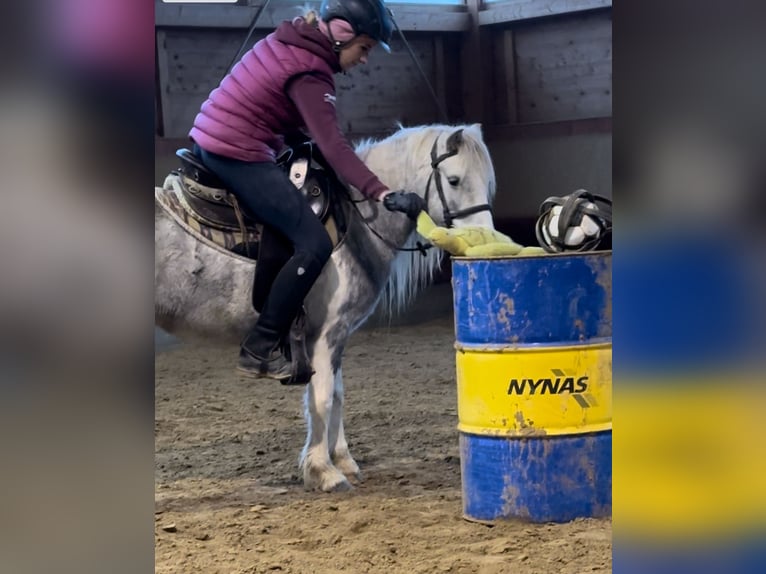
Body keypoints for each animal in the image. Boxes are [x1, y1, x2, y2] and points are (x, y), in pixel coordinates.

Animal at [156, 124, 498, 492]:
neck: (355, 223)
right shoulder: (326, 334)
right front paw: (324, 471)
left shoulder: (335, 336)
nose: (484, 240)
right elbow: (322, 398)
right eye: (454, 180)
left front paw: (343, 460)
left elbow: (337, 393)